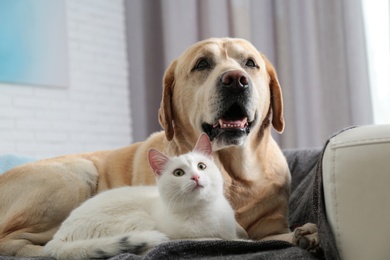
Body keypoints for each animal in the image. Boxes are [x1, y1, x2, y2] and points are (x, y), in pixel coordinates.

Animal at [45, 133, 241, 258]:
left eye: (201, 166)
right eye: (178, 173)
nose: (196, 177)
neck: (203, 210)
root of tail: (59, 237)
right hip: (136, 220)